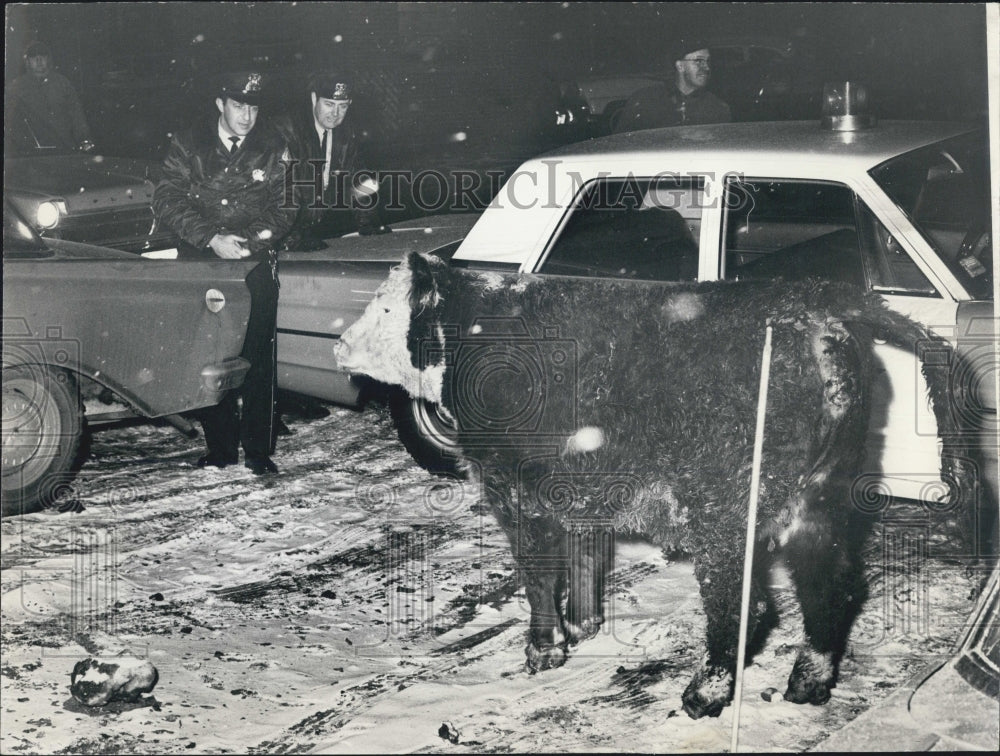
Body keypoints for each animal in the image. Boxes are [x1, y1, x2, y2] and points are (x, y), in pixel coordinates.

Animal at [334, 251, 968, 716]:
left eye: (387, 308)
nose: (339, 343)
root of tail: (811, 305)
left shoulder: (515, 489)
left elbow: (538, 578)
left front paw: (543, 651)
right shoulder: (580, 493)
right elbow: (585, 563)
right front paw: (584, 629)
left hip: (724, 513)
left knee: (747, 604)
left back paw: (704, 694)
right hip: (819, 500)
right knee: (829, 588)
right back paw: (806, 685)